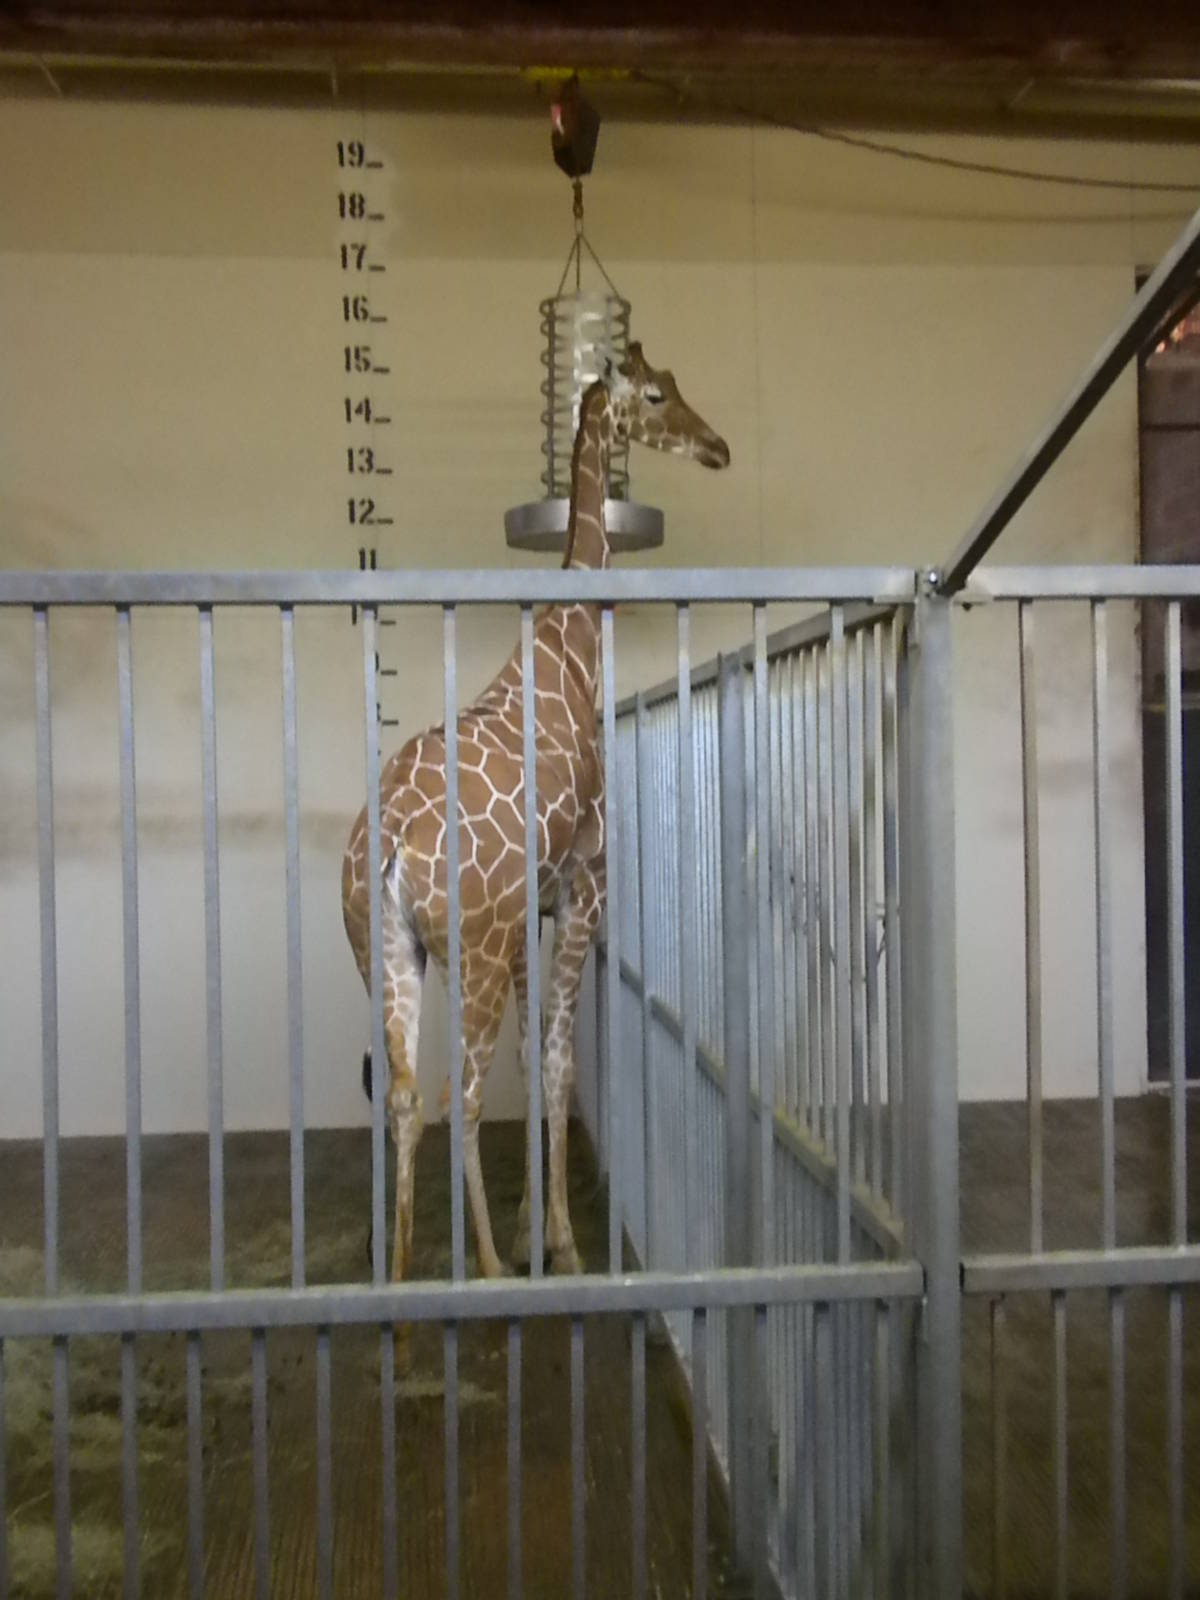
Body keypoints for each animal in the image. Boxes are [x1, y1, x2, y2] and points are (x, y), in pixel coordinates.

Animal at [342, 341, 730, 1284]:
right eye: (656, 395)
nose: (718, 447)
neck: (566, 648)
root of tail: (391, 847)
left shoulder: (534, 910)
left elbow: (535, 1051)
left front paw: (532, 1227)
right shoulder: (584, 889)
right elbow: (554, 1061)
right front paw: (558, 1243)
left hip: (386, 951)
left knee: (405, 1093)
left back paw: (400, 1276)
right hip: (470, 952)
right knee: (464, 1091)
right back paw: (481, 1267)